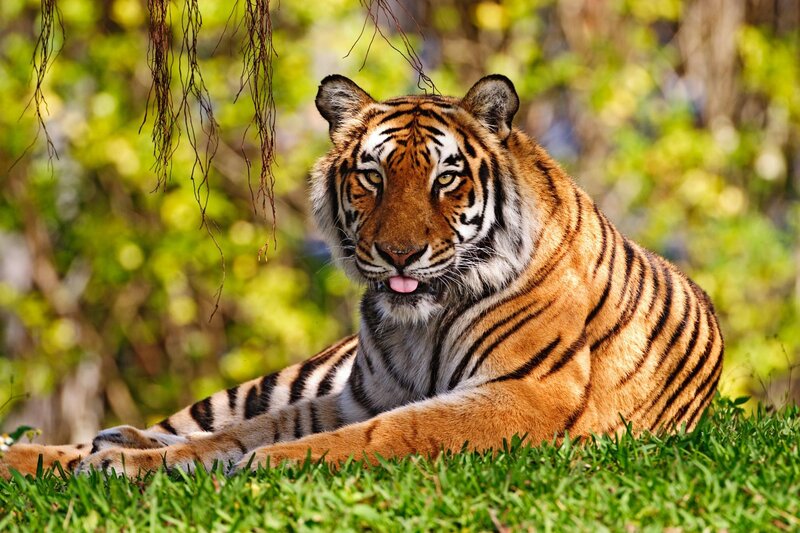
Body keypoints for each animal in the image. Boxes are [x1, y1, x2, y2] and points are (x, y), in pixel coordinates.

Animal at [0, 74, 724, 478]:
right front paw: (126, 462)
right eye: (372, 176)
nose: (398, 253)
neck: (421, 323)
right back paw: (74, 448)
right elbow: (242, 432)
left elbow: (389, 432)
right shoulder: (358, 395)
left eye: (446, 178)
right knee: (187, 422)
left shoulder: (526, 394)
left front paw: (266, 465)